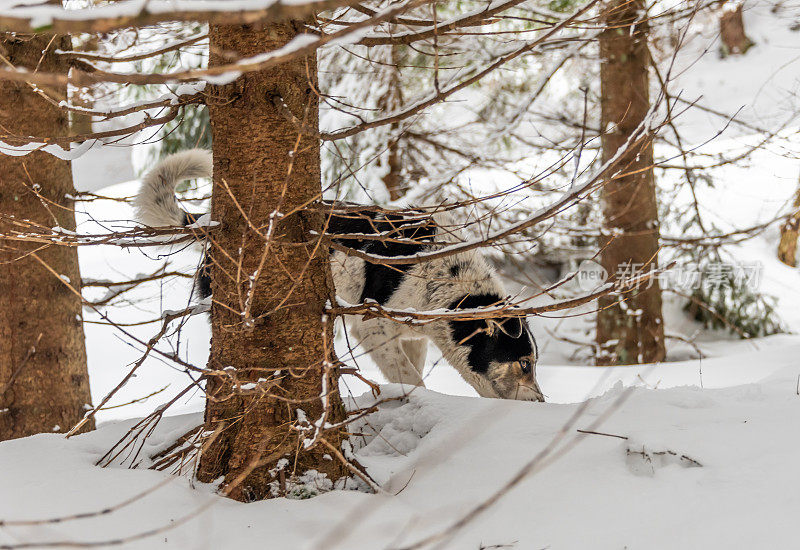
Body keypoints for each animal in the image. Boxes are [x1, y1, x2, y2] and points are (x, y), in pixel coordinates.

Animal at [138, 149, 544, 404]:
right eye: (525, 364)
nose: (543, 401)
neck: (450, 285)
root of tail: (211, 224)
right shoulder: (374, 327)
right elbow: (410, 378)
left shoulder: (412, 337)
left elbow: (412, 372)